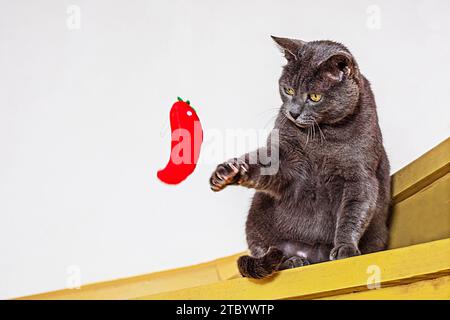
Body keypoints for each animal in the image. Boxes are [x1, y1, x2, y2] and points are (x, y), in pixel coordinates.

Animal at [210, 36, 390, 278]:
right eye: (287, 89)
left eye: (314, 96)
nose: (292, 112)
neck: (322, 137)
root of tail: (312, 254)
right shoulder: (283, 156)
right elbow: (263, 164)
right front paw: (226, 173)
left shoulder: (360, 175)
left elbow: (353, 211)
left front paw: (345, 248)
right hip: (257, 215)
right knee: (269, 254)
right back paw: (294, 261)